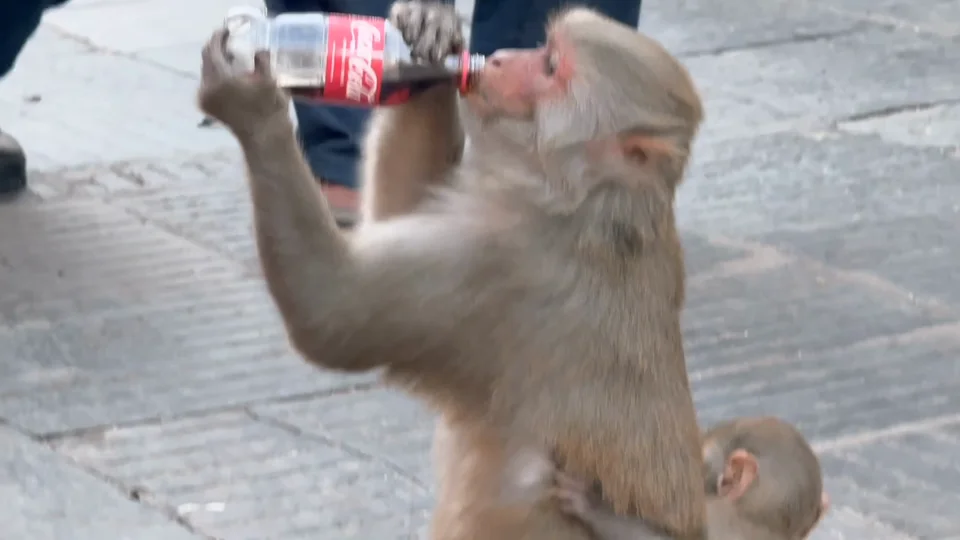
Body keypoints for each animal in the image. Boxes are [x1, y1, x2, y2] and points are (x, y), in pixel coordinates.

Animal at [196, 1, 706, 539]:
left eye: (549, 67)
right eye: (542, 50)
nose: (498, 58)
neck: (591, 201)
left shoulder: (504, 266)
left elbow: (333, 312)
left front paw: (250, 102)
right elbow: (396, 209)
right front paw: (432, 35)